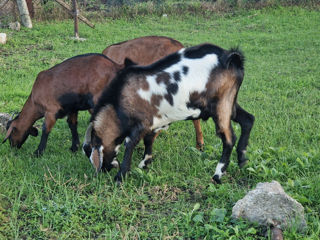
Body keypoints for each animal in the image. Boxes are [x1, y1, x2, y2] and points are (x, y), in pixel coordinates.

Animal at [85, 44, 255, 184]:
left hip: (221, 106)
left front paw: (120, 177)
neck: (119, 100)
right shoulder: (155, 121)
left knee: (228, 138)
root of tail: (232, 58)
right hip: (230, 103)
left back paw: (218, 175)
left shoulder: (141, 123)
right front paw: (144, 163)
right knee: (248, 120)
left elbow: (130, 144)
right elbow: (148, 140)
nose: (104, 170)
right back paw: (242, 160)